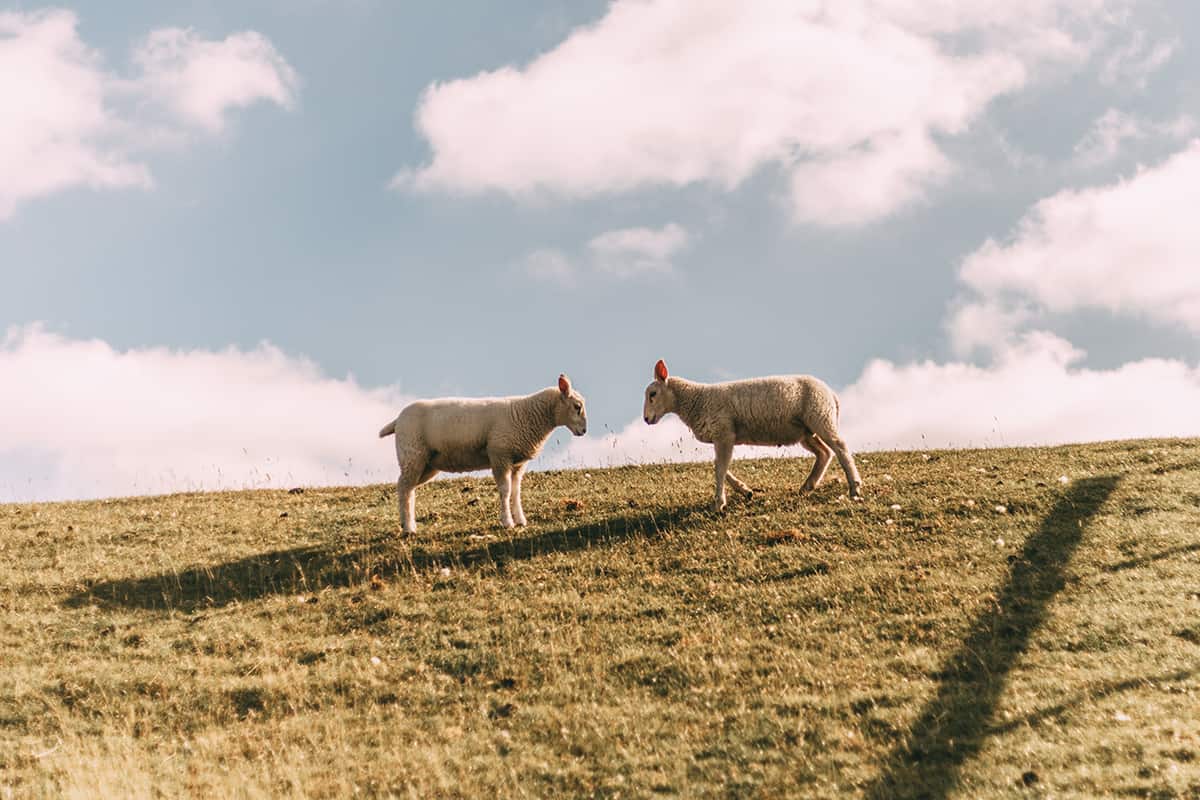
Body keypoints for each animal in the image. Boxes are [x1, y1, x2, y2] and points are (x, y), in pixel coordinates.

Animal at [376, 374, 588, 532]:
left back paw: (409, 524)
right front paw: (507, 522)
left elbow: (516, 491)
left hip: (426, 464)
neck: (527, 414)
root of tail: (397, 420)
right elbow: (505, 490)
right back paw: (408, 528)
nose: (584, 431)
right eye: (577, 407)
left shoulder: (517, 463)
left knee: (408, 489)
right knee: (403, 487)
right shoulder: (500, 455)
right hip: (412, 454)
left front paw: (520, 520)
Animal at [648, 359, 864, 510]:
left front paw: (719, 502)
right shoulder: (723, 437)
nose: (646, 419)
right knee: (824, 453)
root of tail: (832, 394)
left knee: (840, 447)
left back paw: (854, 487)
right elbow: (720, 466)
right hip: (807, 431)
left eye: (652, 394)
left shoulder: (724, 433)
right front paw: (745, 491)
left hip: (820, 416)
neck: (696, 399)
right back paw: (807, 486)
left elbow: (719, 469)